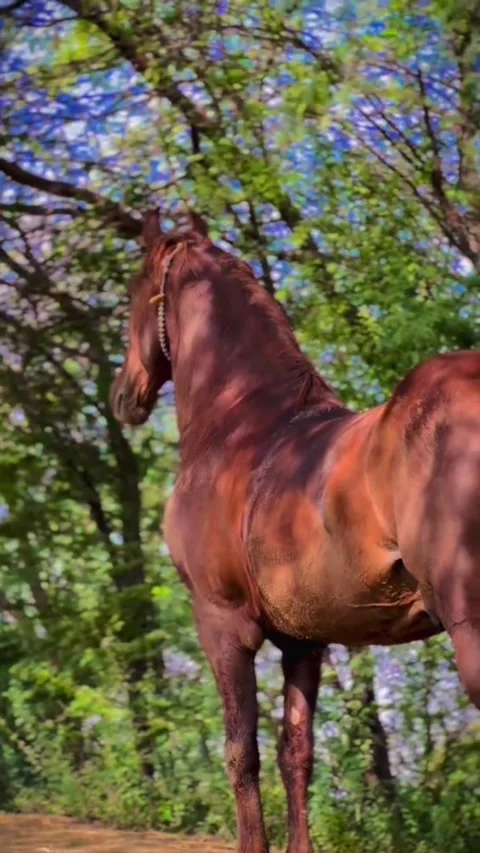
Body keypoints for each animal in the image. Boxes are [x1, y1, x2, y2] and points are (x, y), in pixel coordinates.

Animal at [110, 209, 480, 853]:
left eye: (134, 287)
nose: (122, 396)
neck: (241, 425)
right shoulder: (303, 640)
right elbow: (296, 753)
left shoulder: (221, 624)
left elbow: (242, 753)